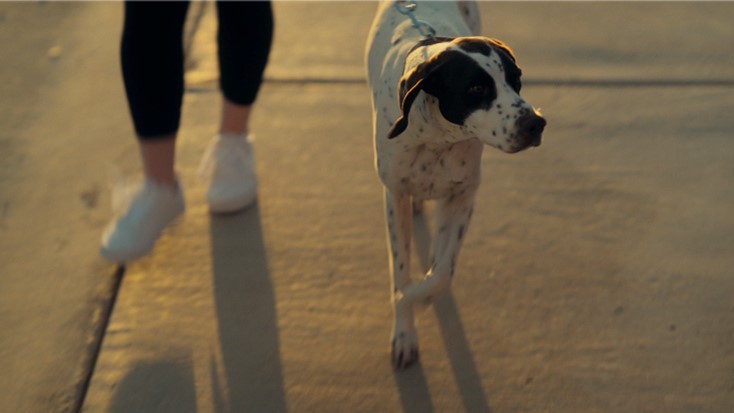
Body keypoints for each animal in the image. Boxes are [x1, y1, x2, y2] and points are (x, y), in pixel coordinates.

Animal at [368, 0, 548, 366]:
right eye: (476, 89)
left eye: (517, 80)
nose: (536, 124)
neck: (436, 137)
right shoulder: (395, 195)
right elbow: (401, 271)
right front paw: (405, 330)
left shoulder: (464, 195)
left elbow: (442, 274)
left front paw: (417, 297)